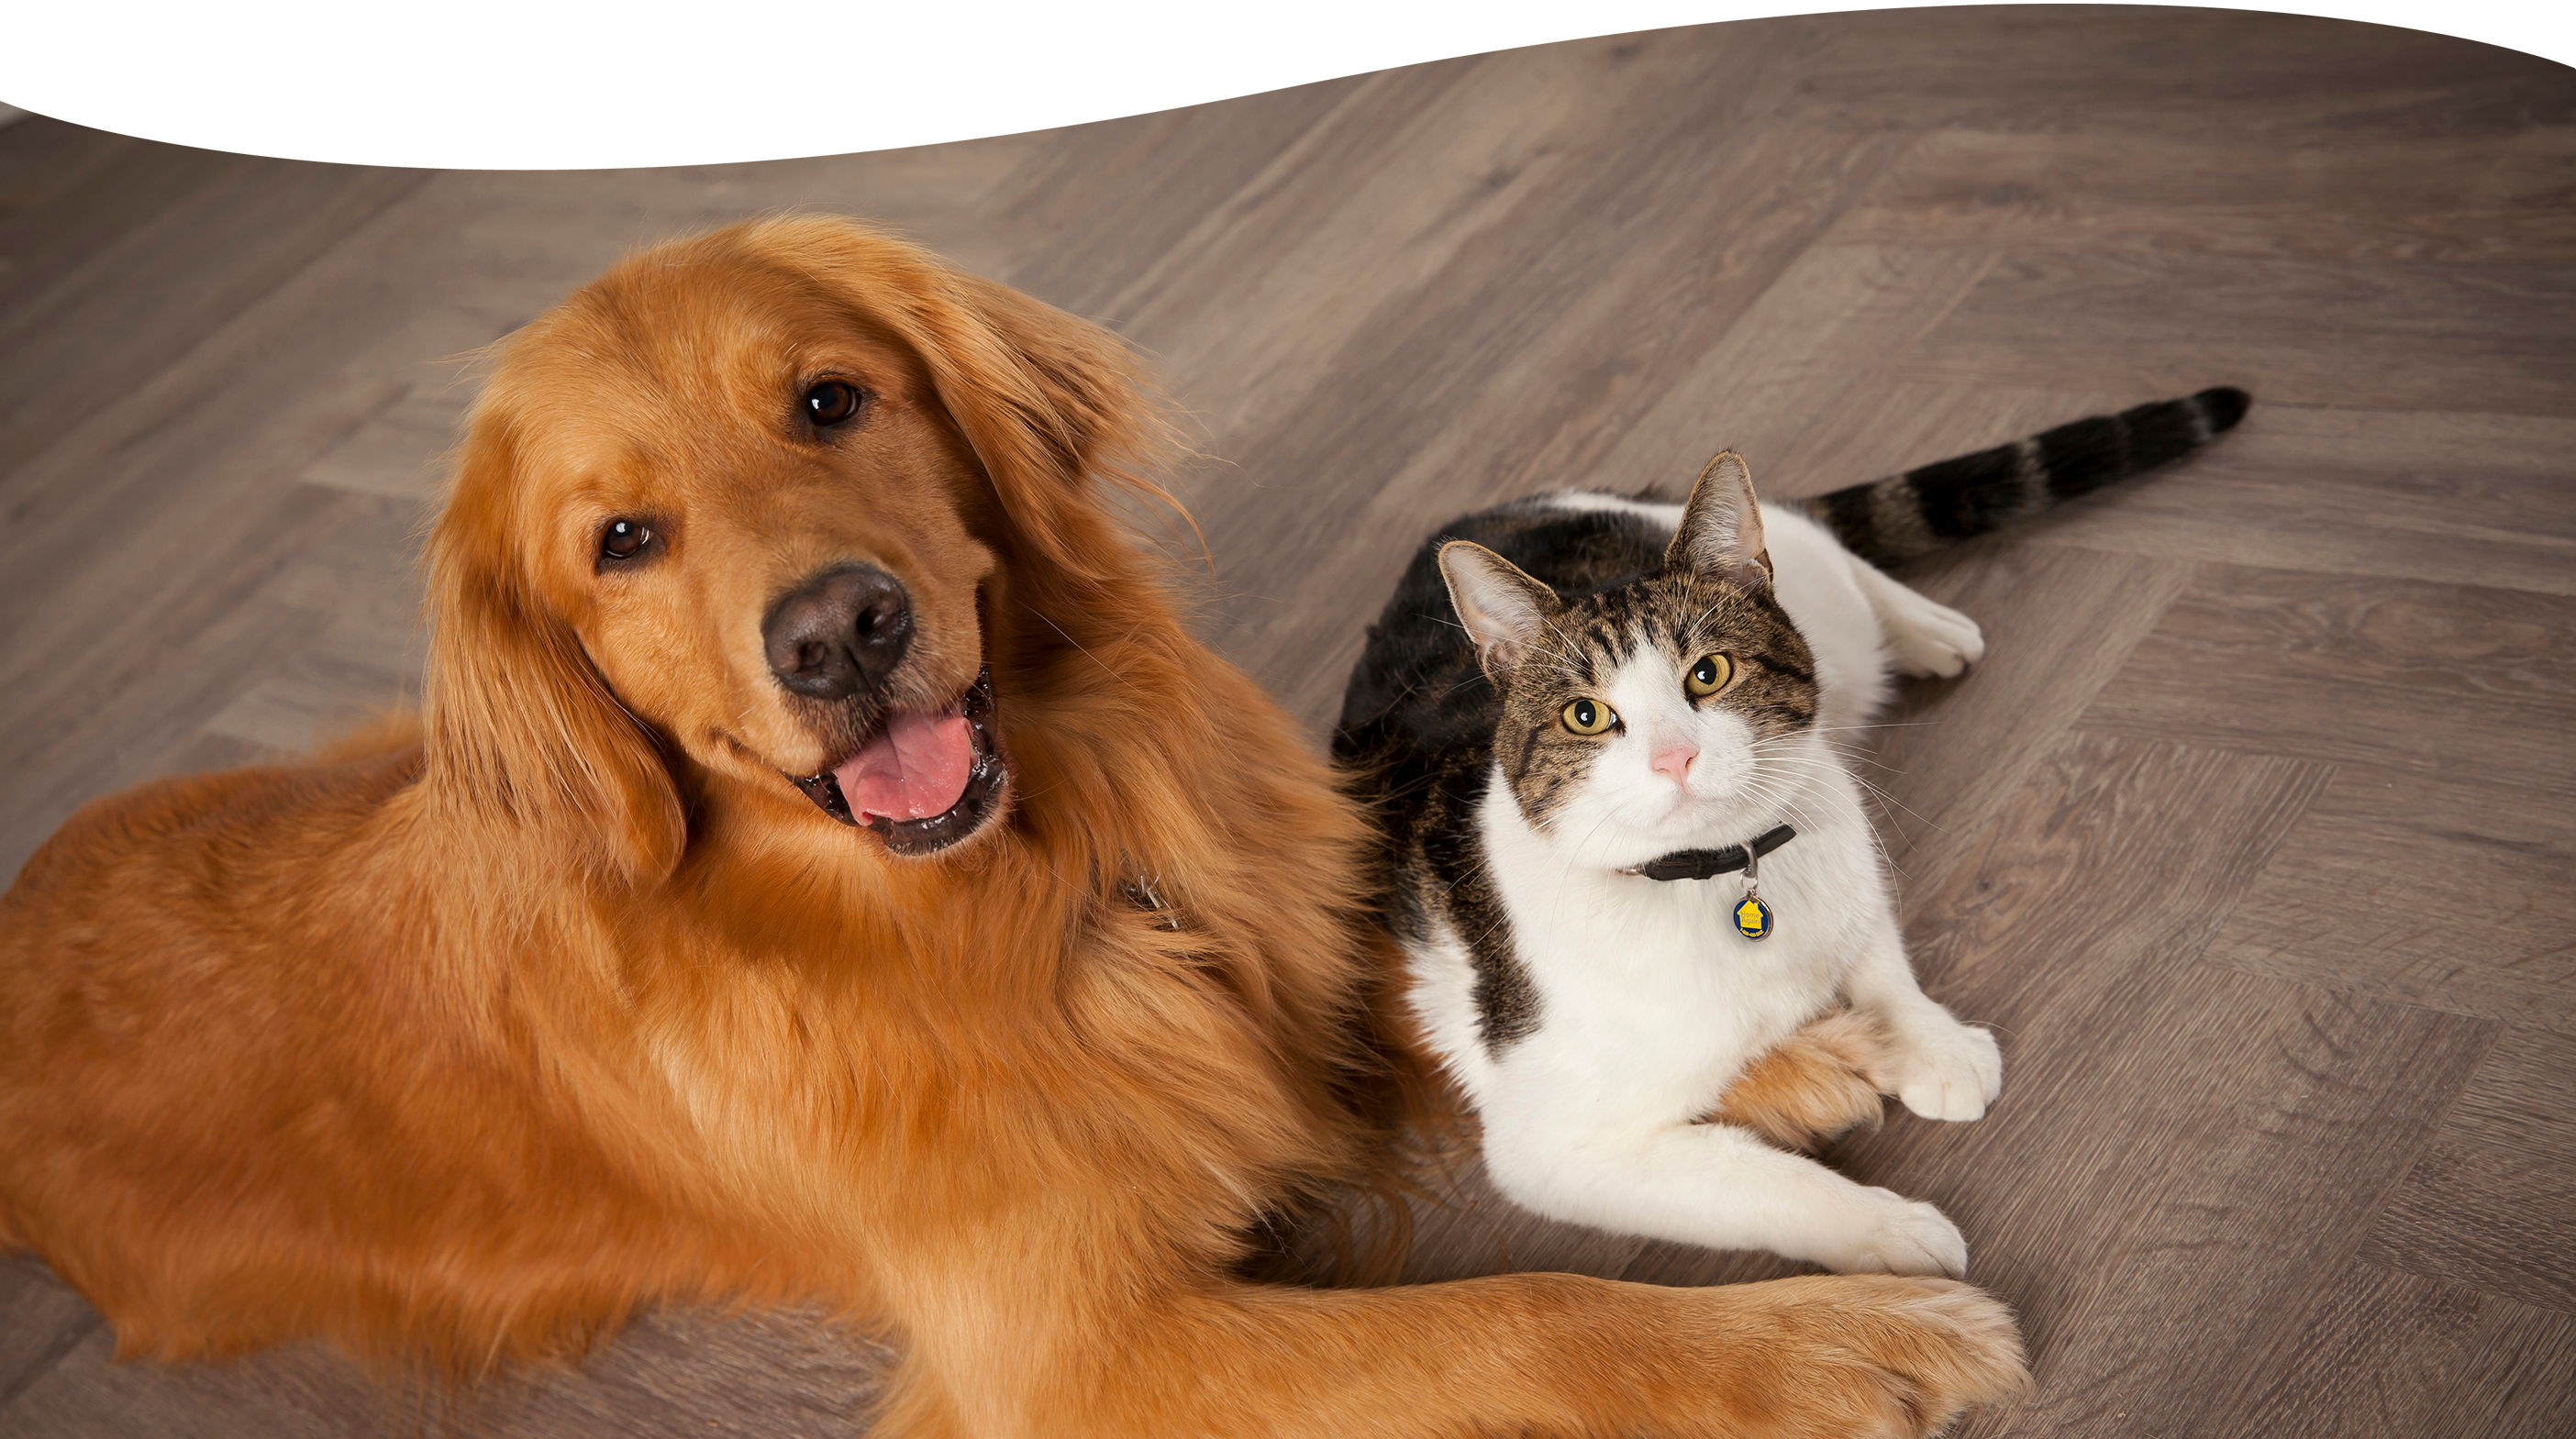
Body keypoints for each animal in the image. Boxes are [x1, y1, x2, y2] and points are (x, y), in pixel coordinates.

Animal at [1339, 388, 2246, 1277]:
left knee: (1815, 536)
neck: (1724, 876)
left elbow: (1876, 950)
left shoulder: (1844, 844)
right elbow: (1760, 1182)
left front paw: (1932, 1039)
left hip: (1830, 622)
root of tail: (1489, 514)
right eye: (1586, 716)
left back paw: (1925, 625)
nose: (1674, 756)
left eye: (1709, 673)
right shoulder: (1556, 1143)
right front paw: (1891, 1237)